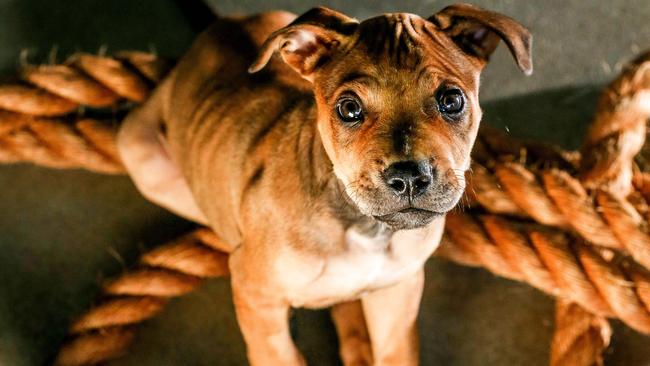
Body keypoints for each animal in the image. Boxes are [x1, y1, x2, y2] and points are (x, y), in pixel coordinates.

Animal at [117, 3, 532, 366]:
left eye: (452, 100)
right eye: (348, 109)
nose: (409, 177)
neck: (363, 227)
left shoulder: (398, 295)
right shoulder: (255, 295)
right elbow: (280, 355)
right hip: (146, 162)